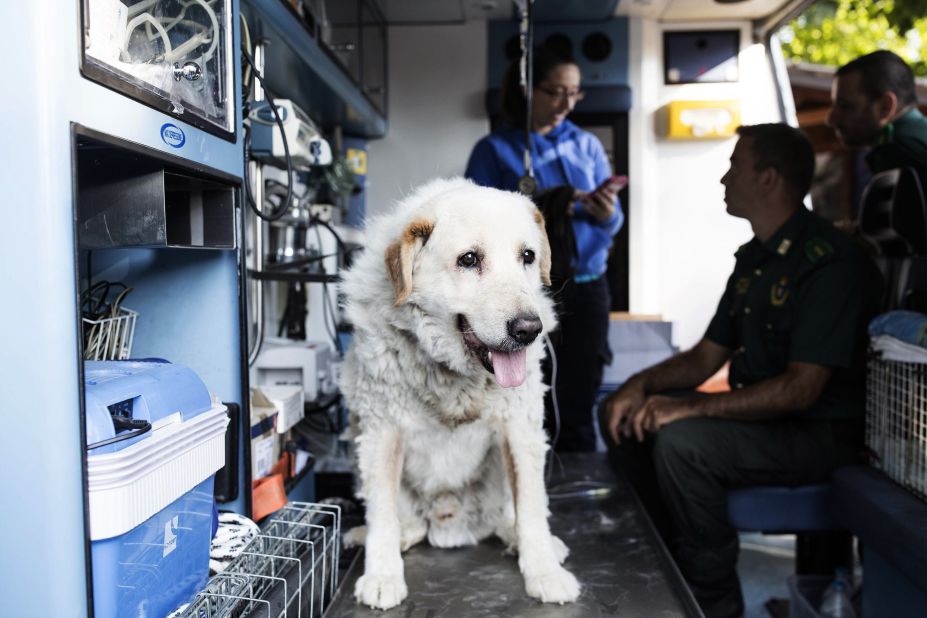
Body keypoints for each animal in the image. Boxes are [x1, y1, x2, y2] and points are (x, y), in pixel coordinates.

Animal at [338, 177, 580, 608]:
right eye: (469, 259)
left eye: (528, 256)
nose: (528, 329)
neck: (453, 372)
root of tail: (448, 520)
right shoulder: (383, 432)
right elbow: (381, 513)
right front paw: (382, 574)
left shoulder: (520, 429)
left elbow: (532, 508)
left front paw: (544, 572)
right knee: (401, 520)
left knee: (510, 516)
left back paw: (525, 540)